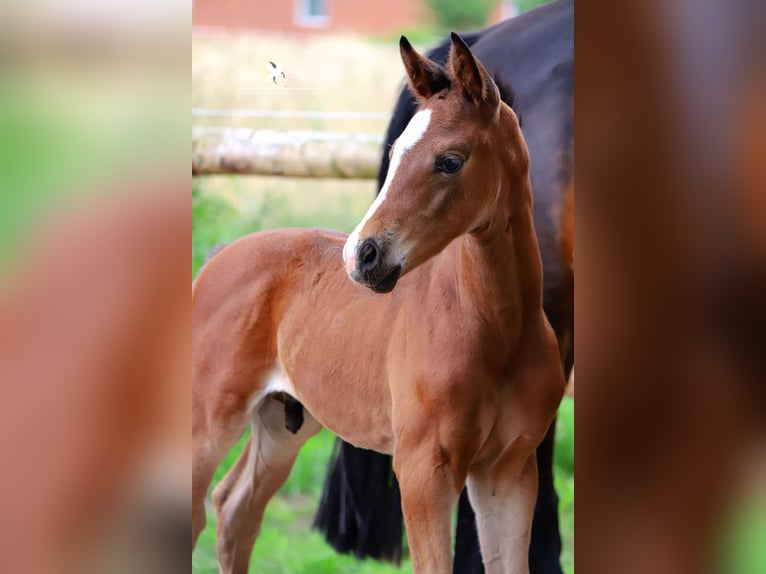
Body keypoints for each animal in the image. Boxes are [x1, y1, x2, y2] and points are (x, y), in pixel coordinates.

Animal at [192, 33, 564, 572]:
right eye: (395, 151)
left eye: (451, 160)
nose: (361, 255)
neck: (497, 329)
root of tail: (220, 256)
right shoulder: (424, 471)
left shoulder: (509, 470)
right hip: (210, 418)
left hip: (282, 422)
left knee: (235, 509)